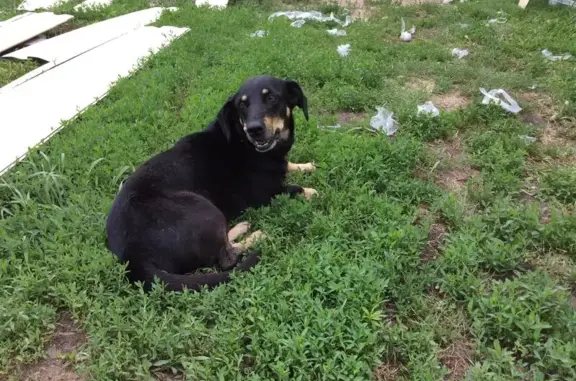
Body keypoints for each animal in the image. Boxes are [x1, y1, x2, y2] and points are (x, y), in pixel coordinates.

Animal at [106, 75, 318, 290]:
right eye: (242, 105)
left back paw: (240, 227)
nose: (254, 129)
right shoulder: (264, 195)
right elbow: (296, 188)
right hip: (203, 208)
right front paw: (311, 191)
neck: (242, 141)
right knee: (226, 260)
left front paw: (305, 166)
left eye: (272, 98)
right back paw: (256, 236)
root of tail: (132, 259)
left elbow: (289, 165)